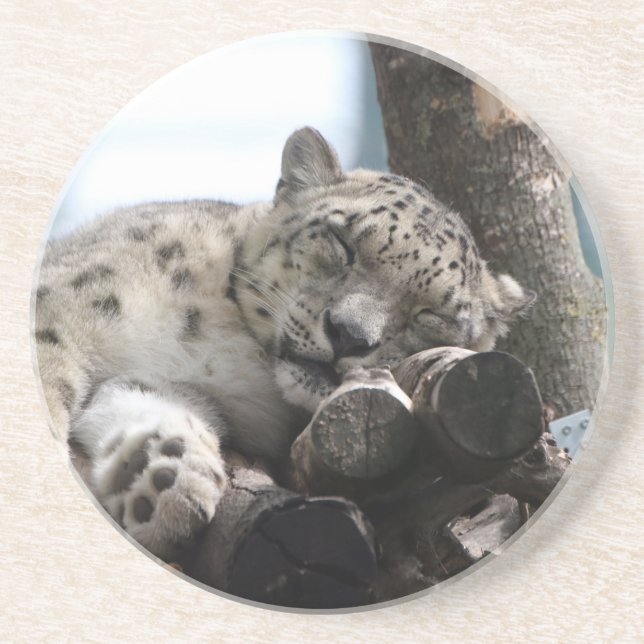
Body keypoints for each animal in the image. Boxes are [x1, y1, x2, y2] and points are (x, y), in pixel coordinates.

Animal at [33, 127, 534, 561]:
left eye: (431, 314)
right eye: (342, 242)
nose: (349, 334)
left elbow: (147, 401)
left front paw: (162, 478)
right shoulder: (62, 308)